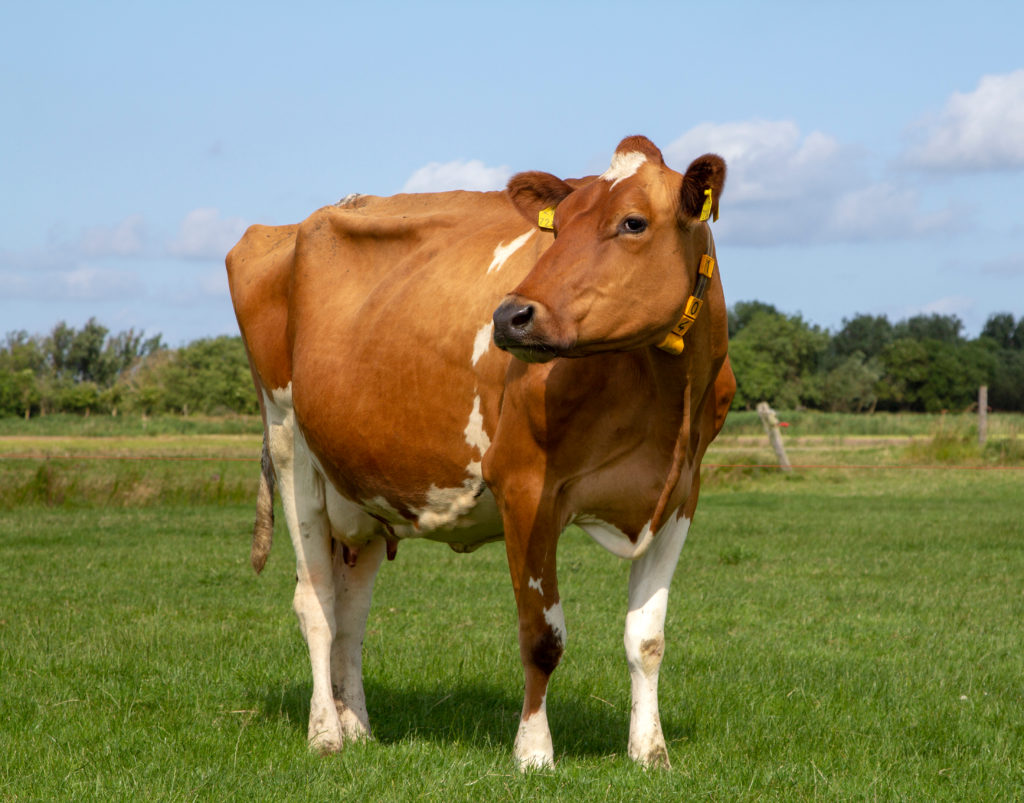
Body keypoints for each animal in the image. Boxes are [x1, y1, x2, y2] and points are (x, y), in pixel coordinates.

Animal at [226, 135, 734, 770]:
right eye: (556, 227)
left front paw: (650, 752)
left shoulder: (681, 494)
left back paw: (359, 727)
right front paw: (534, 753)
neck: (663, 399)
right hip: (290, 445)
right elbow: (542, 637)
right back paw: (325, 733)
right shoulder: (527, 487)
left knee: (351, 613)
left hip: (361, 488)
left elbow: (647, 638)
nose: (510, 316)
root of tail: (294, 224)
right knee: (314, 603)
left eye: (633, 222)